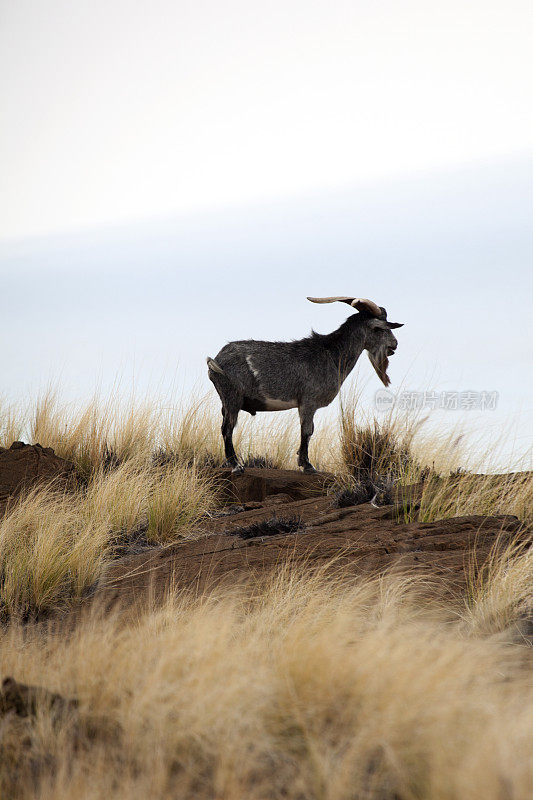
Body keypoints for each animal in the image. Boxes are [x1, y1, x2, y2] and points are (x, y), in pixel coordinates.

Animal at [206, 300, 402, 476]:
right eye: (379, 328)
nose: (394, 344)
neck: (332, 355)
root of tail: (216, 360)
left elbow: (307, 431)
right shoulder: (308, 402)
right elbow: (307, 431)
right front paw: (308, 466)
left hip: (226, 401)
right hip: (232, 397)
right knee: (227, 429)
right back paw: (236, 466)